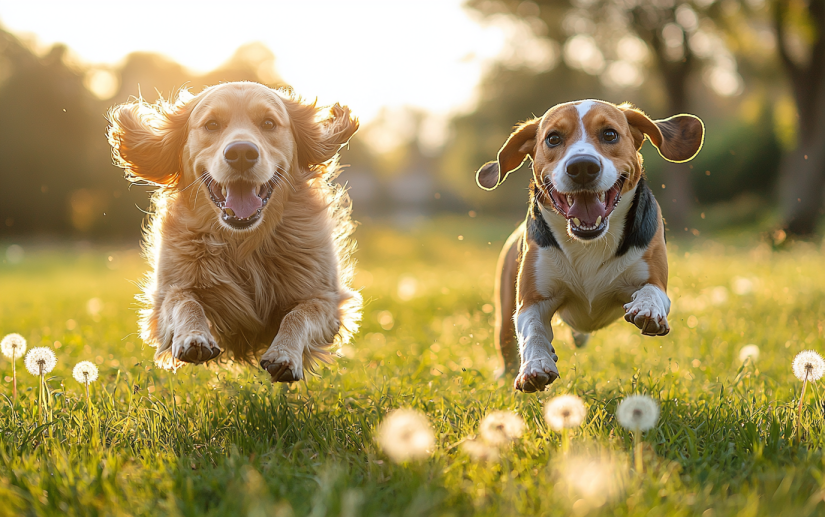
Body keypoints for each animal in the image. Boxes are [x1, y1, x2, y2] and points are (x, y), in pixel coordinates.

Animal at [105, 80, 360, 380]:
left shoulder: (326, 299)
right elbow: (185, 301)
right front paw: (193, 337)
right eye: (212, 124)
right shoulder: (169, 290)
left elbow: (298, 315)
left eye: (269, 123)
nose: (241, 153)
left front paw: (284, 353)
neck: (243, 242)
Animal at [476, 100, 700, 392]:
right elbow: (532, 331)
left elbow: (652, 291)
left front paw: (647, 308)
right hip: (504, 309)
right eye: (553, 138)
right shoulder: (531, 301)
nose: (582, 166)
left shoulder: (655, 279)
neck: (589, 243)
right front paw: (535, 365)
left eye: (610, 134)